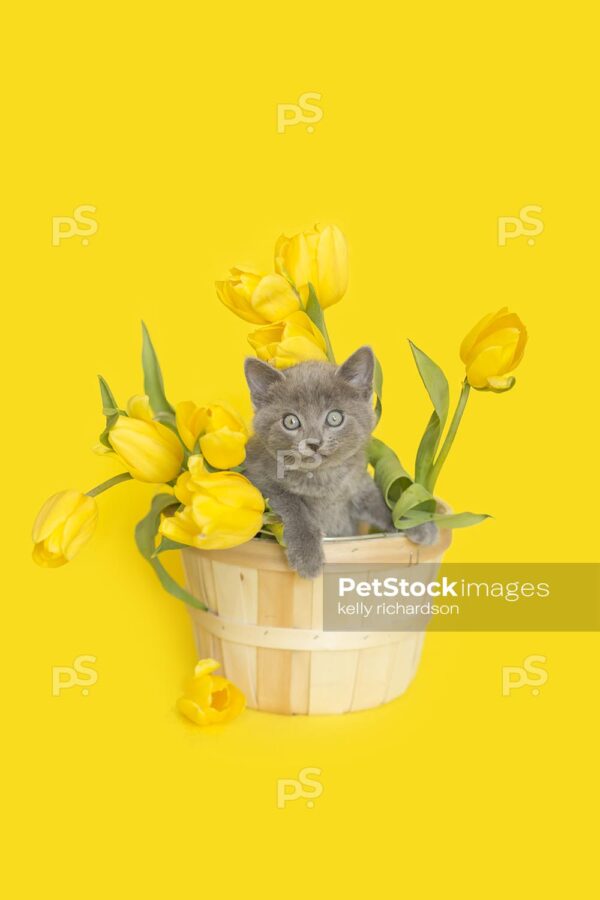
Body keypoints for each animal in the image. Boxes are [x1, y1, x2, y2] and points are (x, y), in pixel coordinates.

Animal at [243, 344, 436, 576]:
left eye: (334, 418)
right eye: (290, 421)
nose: (314, 443)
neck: (324, 479)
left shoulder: (358, 481)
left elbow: (381, 503)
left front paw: (416, 523)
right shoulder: (258, 475)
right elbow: (291, 504)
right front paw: (308, 556)